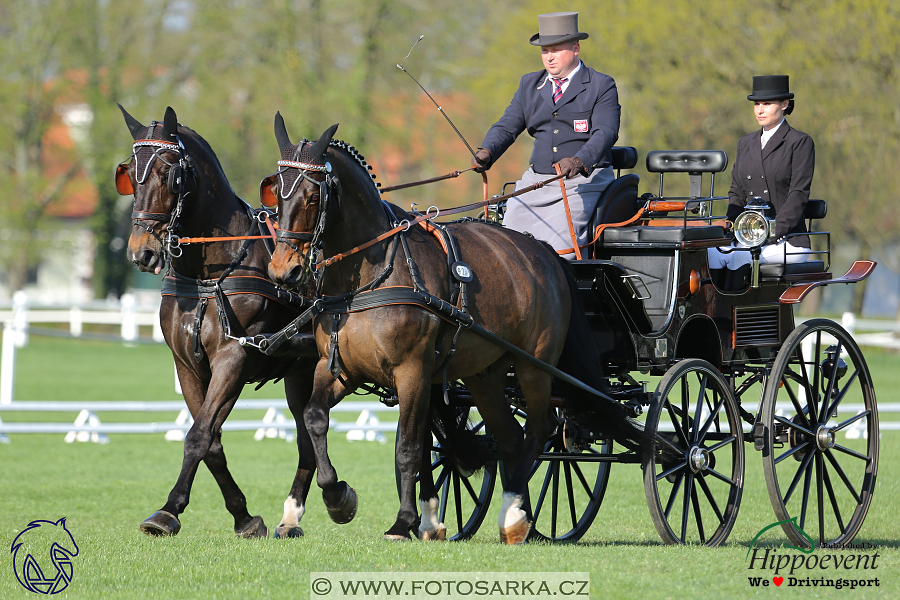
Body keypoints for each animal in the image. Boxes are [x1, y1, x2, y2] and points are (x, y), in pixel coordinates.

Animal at [115, 106, 320, 540]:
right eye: (129, 174)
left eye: (169, 174)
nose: (142, 252)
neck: (210, 274)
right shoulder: (188, 365)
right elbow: (211, 440)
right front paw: (244, 516)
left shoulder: (233, 359)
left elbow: (198, 436)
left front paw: (167, 511)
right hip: (300, 374)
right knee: (308, 433)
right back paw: (293, 516)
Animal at [264, 118, 652, 544]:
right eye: (276, 192)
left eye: (312, 197)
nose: (284, 271)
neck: (372, 274)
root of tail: (547, 253)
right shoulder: (339, 368)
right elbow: (314, 419)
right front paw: (338, 498)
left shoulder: (413, 372)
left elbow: (409, 447)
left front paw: (404, 521)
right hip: (485, 375)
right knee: (511, 438)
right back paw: (516, 515)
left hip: (534, 367)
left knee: (541, 429)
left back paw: (514, 514)